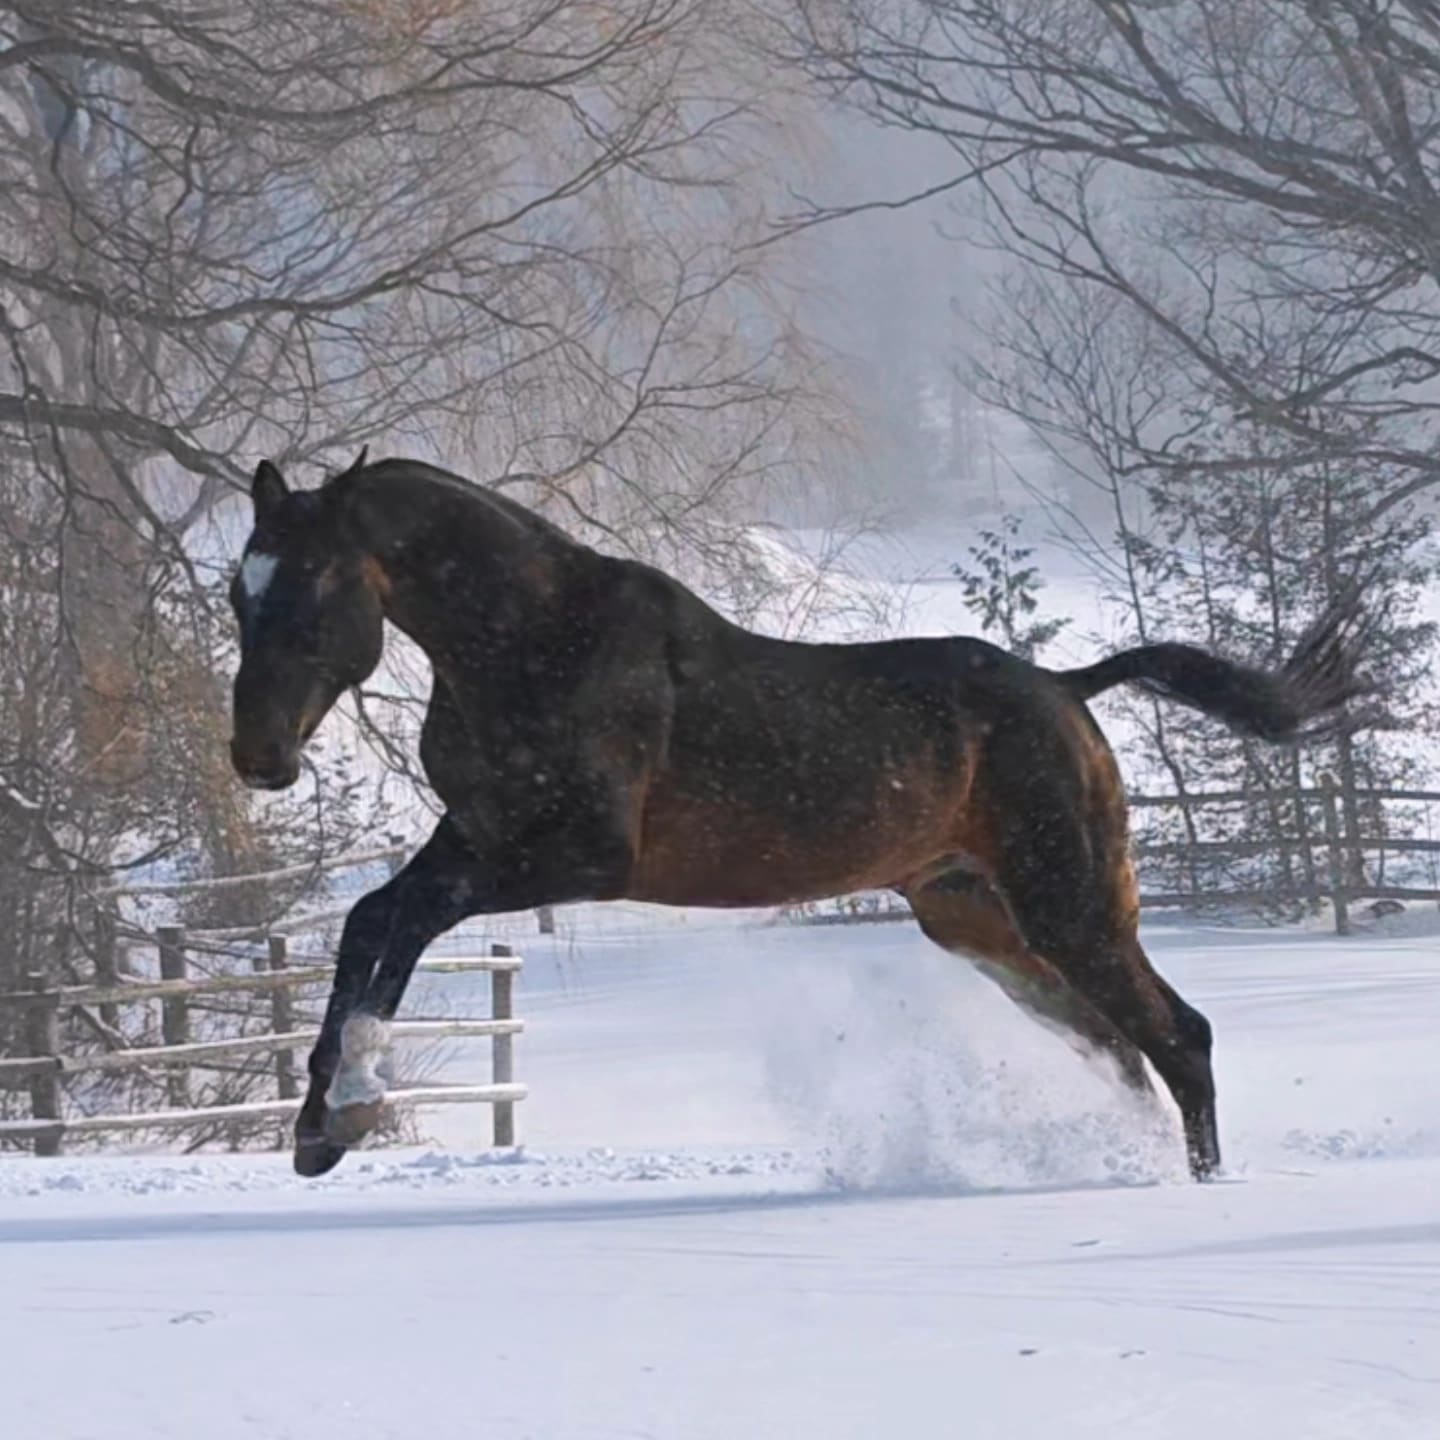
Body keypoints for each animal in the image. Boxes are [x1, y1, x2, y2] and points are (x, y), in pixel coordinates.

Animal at [227, 452, 1366, 1181]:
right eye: (241, 590)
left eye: (316, 581)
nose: (260, 757)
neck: (537, 642)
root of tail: (1068, 689)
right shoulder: (475, 834)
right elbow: (372, 921)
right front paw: (323, 1127)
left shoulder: (579, 857)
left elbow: (404, 922)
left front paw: (349, 1105)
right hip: (983, 923)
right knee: (1122, 1050)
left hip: (1070, 909)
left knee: (1181, 1037)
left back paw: (1199, 1189)